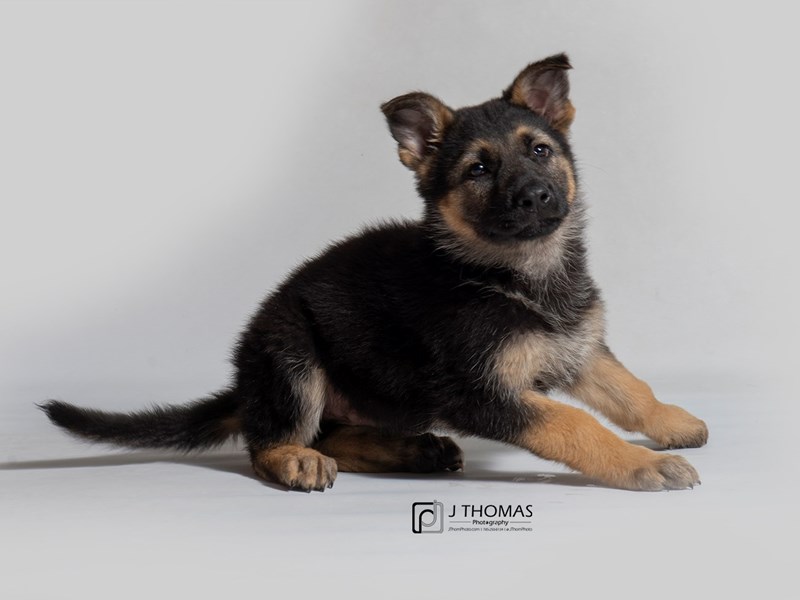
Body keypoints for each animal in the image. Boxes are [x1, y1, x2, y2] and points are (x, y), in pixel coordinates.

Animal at [43, 52, 708, 492]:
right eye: (477, 171)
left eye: (539, 150)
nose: (536, 196)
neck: (513, 275)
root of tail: (245, 382)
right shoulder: (480, 392)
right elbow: (572, 422)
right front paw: (641, 463)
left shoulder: (579, 346)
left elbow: (628, 389)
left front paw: (669, 423)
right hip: (292, 356)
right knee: (268, 442)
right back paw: (298, 461)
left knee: (332, 432)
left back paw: (414, 451)